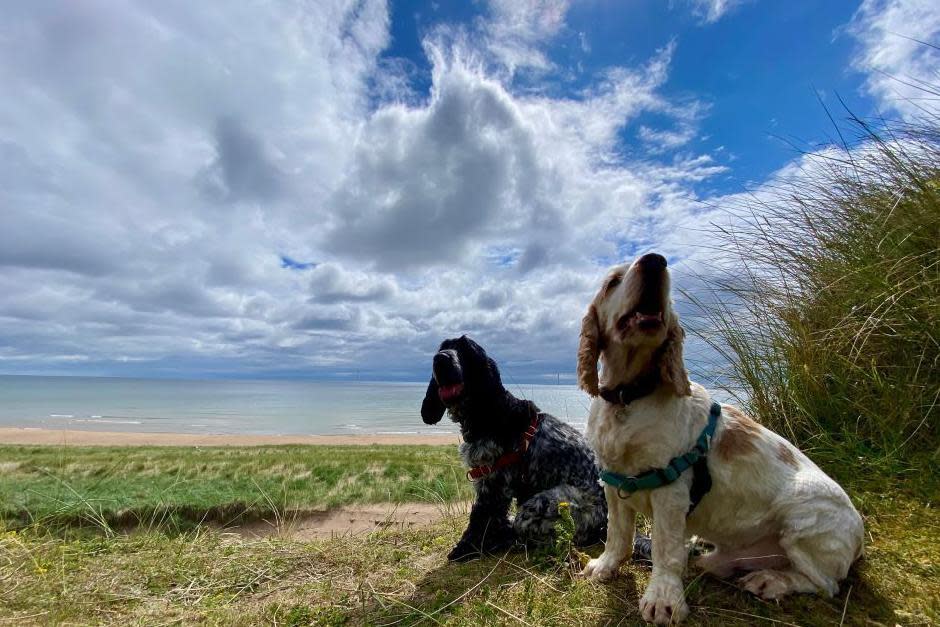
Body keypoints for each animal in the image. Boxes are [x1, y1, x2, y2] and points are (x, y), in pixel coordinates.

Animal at [420, 336, 608, 560]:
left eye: (465, 351)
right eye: (443, 347)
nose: (440, 359)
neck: (487, 412)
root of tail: (606, 523)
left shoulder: (493, 484)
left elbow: (481, 518)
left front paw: (465, 548)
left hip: (542, 503)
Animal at [576, 253, 864, 624]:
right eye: (612, 282)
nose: (655, 261)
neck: (631, 397)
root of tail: (859, 540)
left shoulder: (670, 490)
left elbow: (665, 549)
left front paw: (663, 599)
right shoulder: (613, 481)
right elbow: (618, 533)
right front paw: (605, 566)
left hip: (803, 518)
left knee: (825, 583)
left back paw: (771, 581)